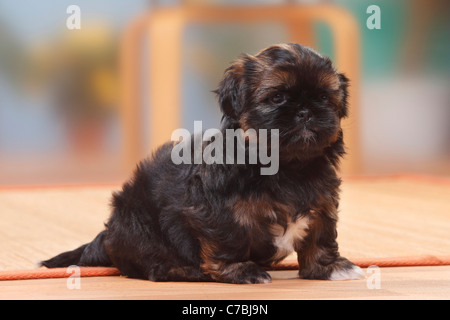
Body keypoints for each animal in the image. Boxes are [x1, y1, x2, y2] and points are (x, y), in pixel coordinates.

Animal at [41, 43, 366, 284]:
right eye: (278, 98)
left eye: (322, 97)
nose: (305, 111)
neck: (288, 166)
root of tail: (109, 235)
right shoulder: (214, 209)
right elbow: (228, 236)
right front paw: (239, 270)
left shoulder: (322, 201)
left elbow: (321, 236)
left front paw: (329, 267)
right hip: (137, 220)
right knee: (151, 263)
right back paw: (184, 270)